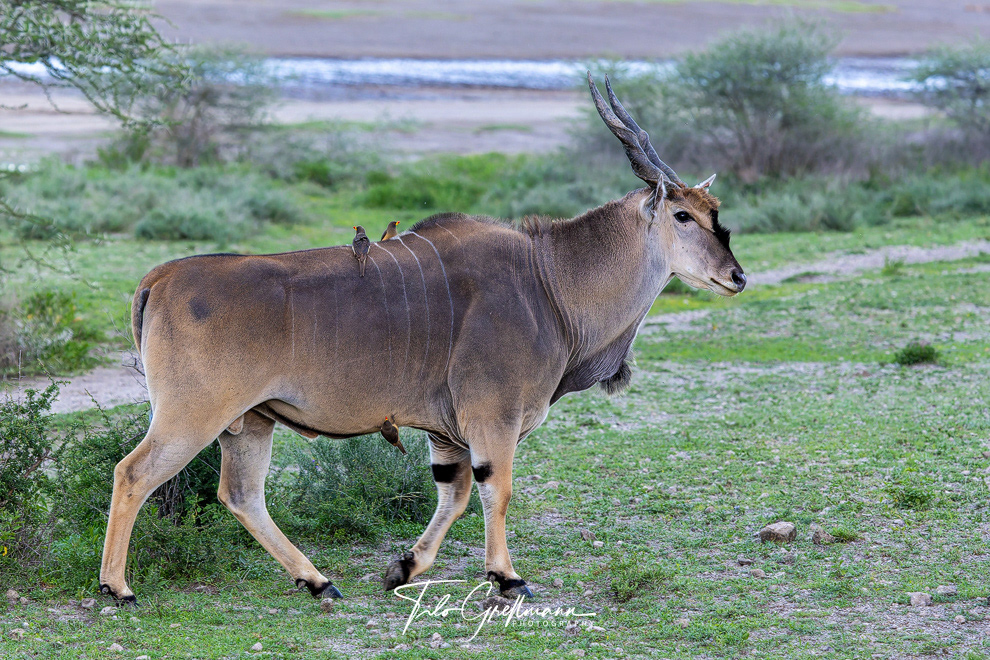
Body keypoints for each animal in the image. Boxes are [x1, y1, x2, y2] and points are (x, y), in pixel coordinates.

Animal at [99, 74, 746, 604]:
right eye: (684, 216)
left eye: (716, 213)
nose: (737, 276)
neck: (549, 277)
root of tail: (161, 277)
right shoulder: (492, 416)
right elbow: (495, 490)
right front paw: (507, 578)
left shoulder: (448, 431)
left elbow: (452, 496)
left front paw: (404, 568)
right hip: (193, 413)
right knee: (134, 474)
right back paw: (118, 587)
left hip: (250, 421)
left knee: (241, 495)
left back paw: (318, 581)